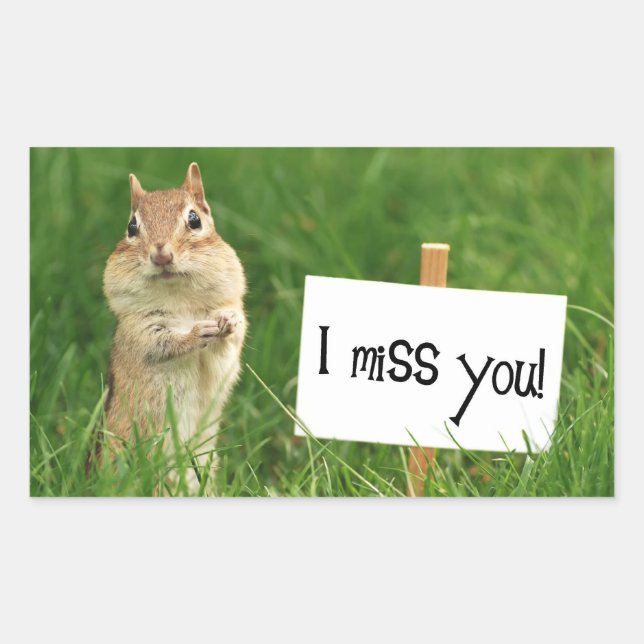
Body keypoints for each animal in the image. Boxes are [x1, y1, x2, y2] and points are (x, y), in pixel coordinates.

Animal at [102, 162, 246, 492]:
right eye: (131, 226)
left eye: (194, 219)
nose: (161, 254)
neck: (180, 300)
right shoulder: (138, 332)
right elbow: (163, 344)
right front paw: (195, 334)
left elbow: (228, 347)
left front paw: (228, 322)